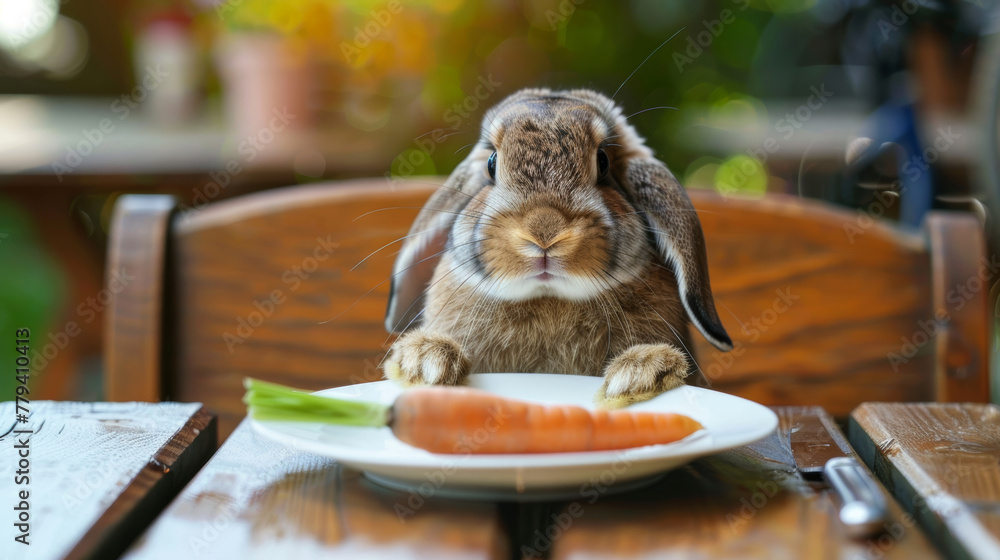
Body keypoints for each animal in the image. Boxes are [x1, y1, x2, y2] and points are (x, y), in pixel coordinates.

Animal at [381, 88, 732, 408]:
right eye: (492, 164)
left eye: (603, 162)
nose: (544, 233)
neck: (549, 298)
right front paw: (425, 361)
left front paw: (638, 373)